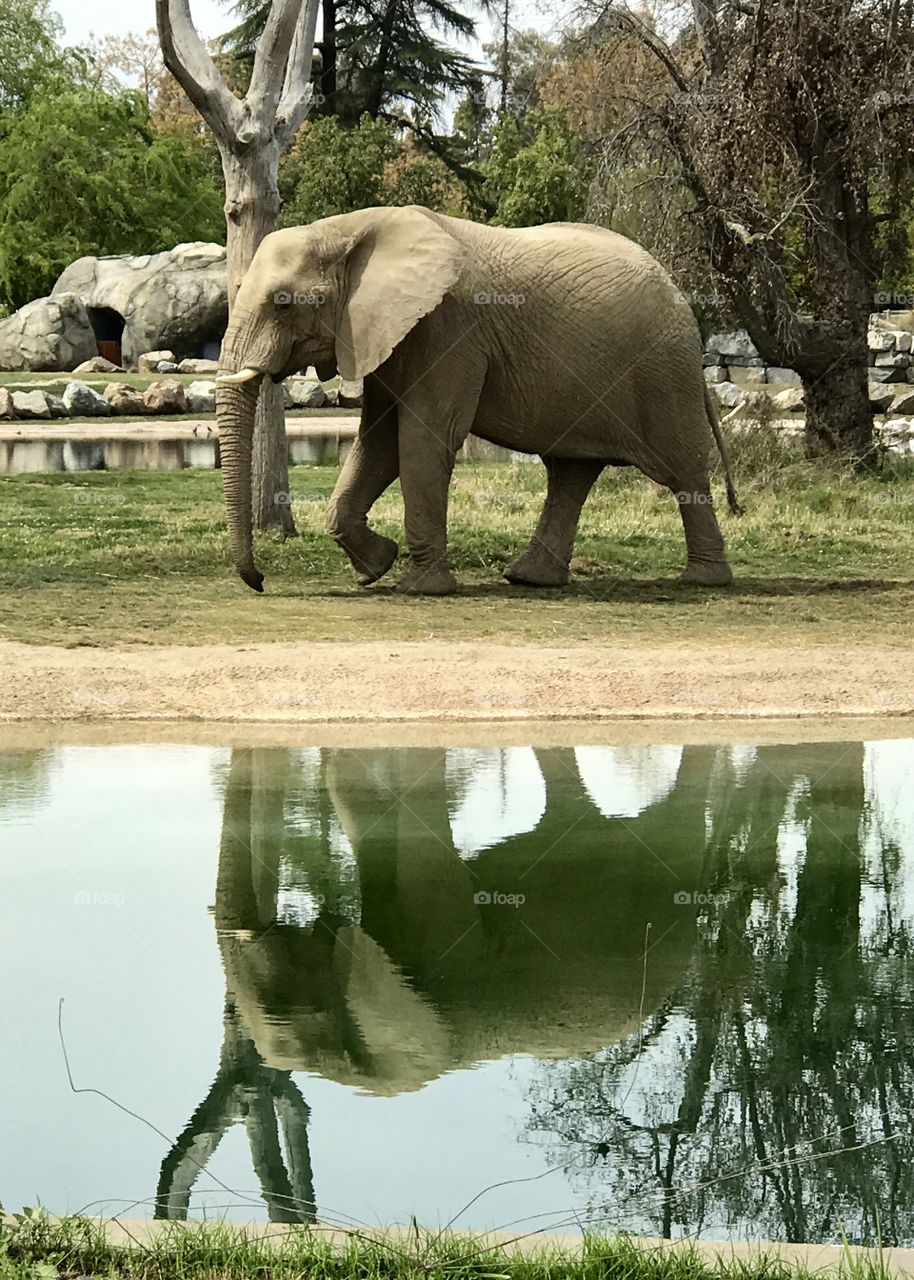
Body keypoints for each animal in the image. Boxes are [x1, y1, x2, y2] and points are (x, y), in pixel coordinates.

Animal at [215, 205, 741, 595]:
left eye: (283, 303)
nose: (260, 581)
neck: (347, 230)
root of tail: (676, 289)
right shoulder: (384, 334)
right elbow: (379, 442)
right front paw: (375, 568)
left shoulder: (450, 331)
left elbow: (420, 440)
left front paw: (419, 587)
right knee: (570, 473)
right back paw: (529, 579)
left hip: (663, 373)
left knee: (683, 470)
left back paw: (704, 580)